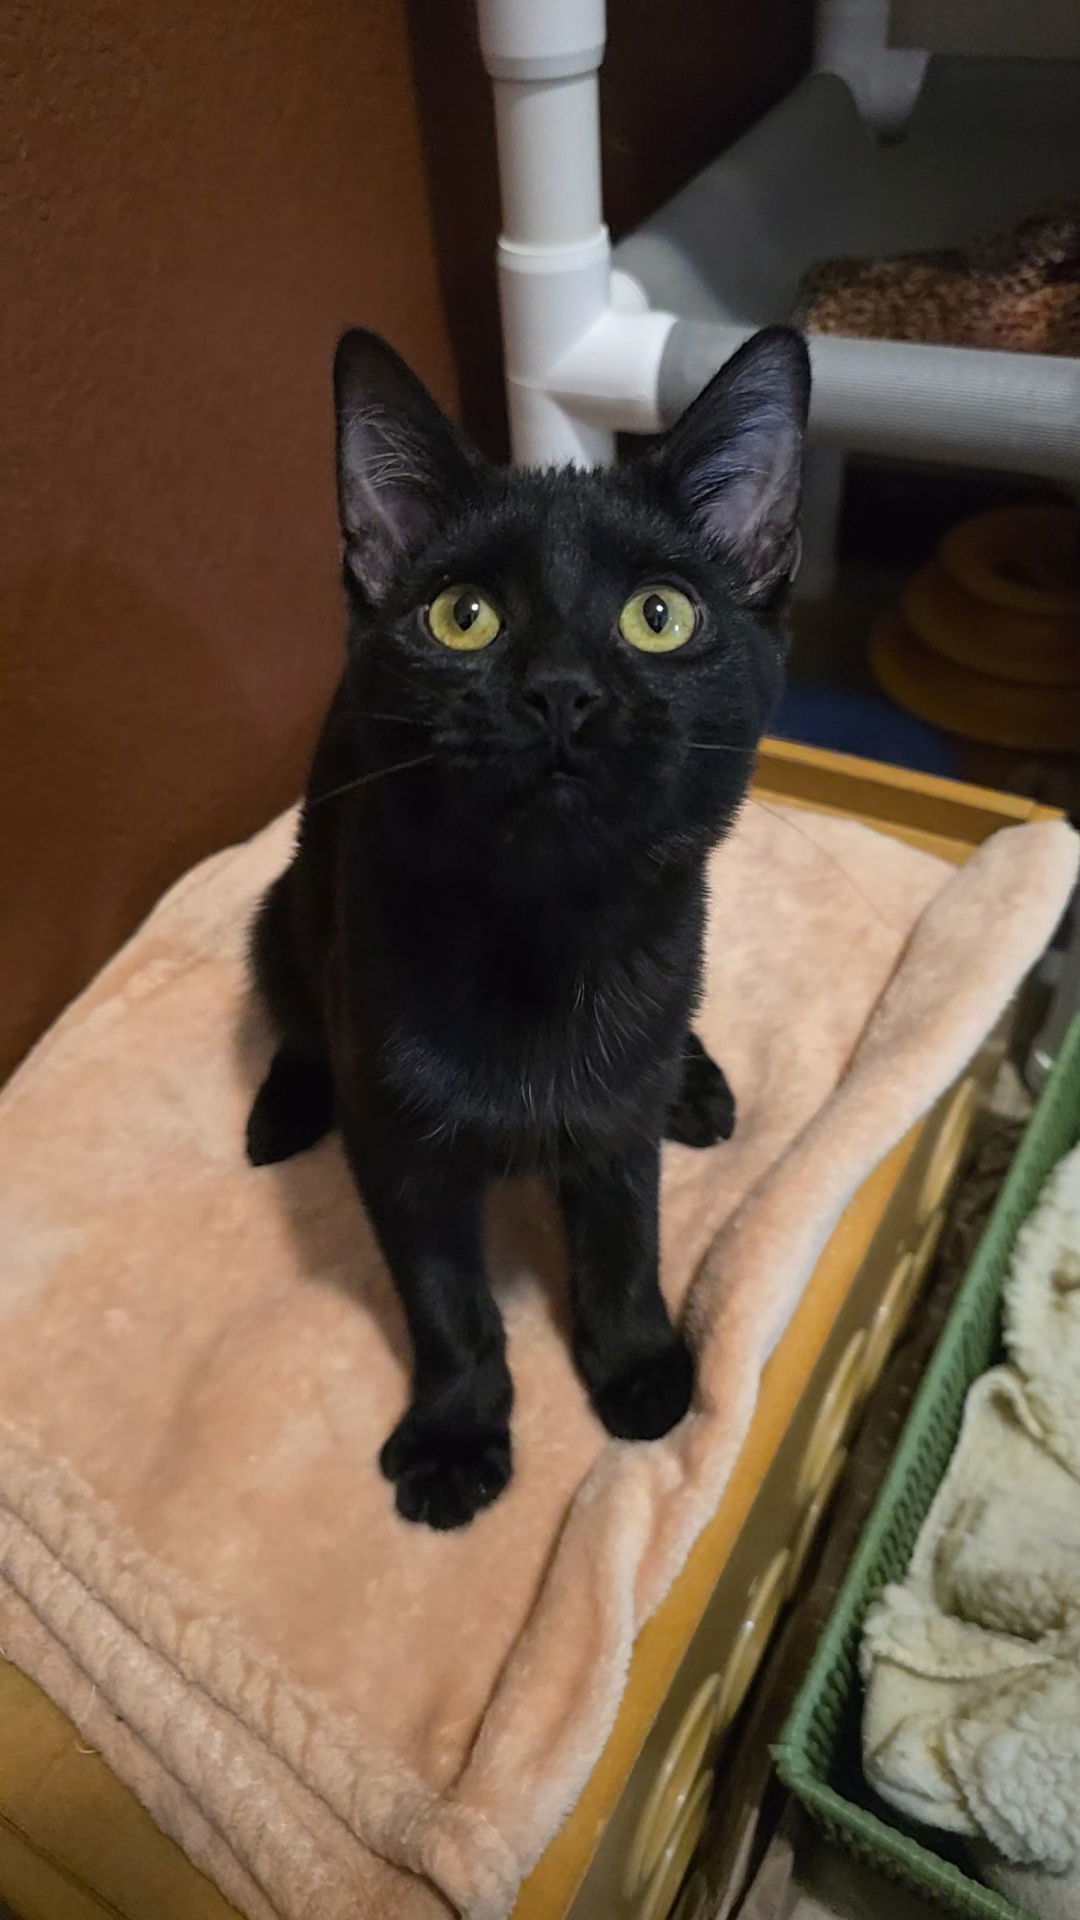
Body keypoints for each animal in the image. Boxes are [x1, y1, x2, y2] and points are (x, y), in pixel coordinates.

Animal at [247, 326, 803, 1528]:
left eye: (659, 615)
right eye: (463, 616)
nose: (560, 689)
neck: (545, 941)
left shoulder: (616, 1126)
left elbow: (623, 1237)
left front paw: (638, 1366)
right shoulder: (399, 1152)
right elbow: (447, 1300)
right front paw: (457, 1431)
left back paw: (692, 1079)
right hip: (283, 911)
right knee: (300, 1016)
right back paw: (287, 1103)